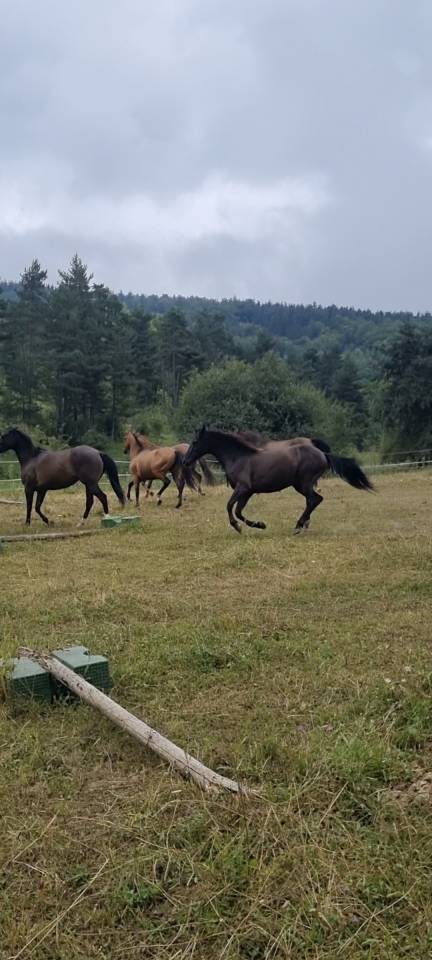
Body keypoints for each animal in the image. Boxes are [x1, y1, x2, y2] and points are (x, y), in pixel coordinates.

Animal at [183, 426, 373, 534]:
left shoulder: (242, 489)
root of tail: (323, 454)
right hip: (299, 485)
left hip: (305, 482)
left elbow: (230, 506)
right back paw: (302, 524)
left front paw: (237, 527)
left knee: (313, 500)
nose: (185, 461)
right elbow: (238, 511)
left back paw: (298, 526)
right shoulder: (248, 492)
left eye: (195, 442)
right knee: (315, 500)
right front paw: (260, 525)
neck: (238, 457)